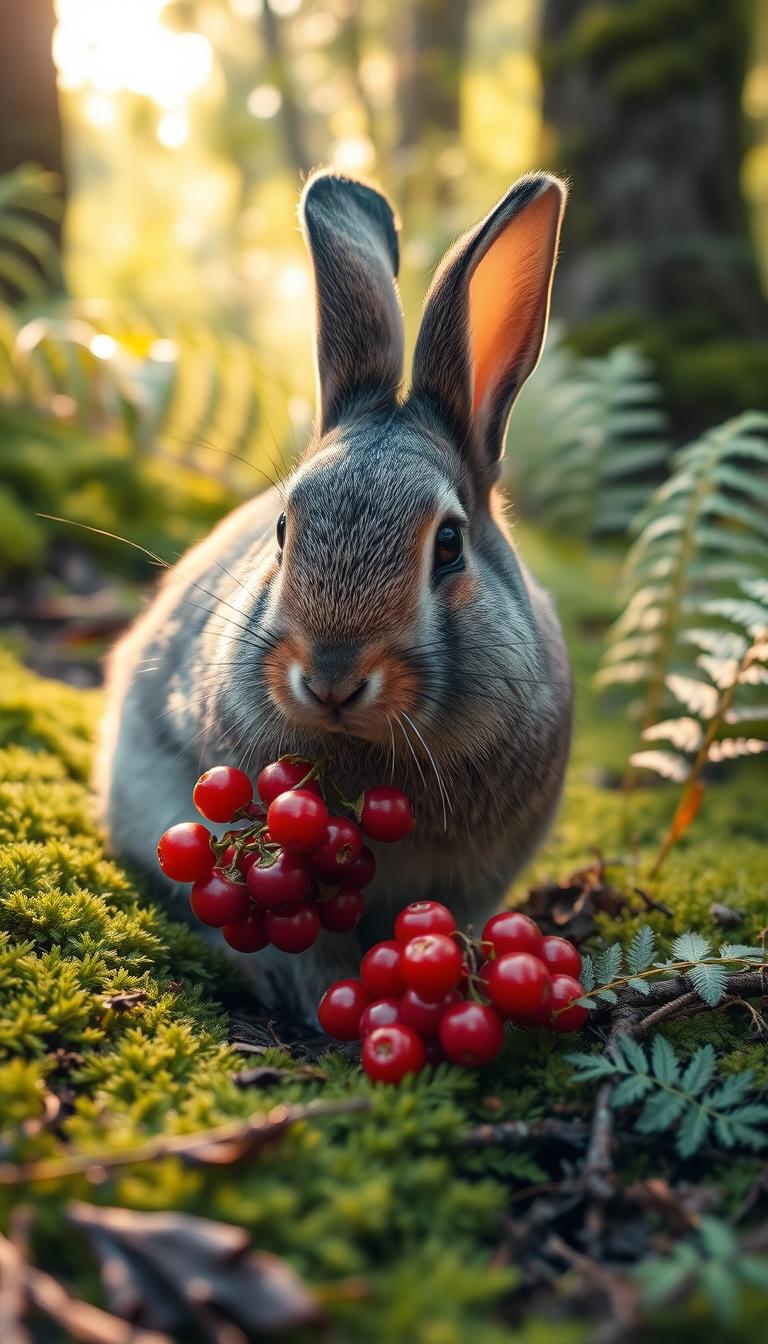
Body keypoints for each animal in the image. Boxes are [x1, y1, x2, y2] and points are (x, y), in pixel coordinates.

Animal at [97, 167, 573, 1025]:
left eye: (449, 545)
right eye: (284, 530)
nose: (331, 677)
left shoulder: (473, 878)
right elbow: (310, 945)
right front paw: (325, 1002)